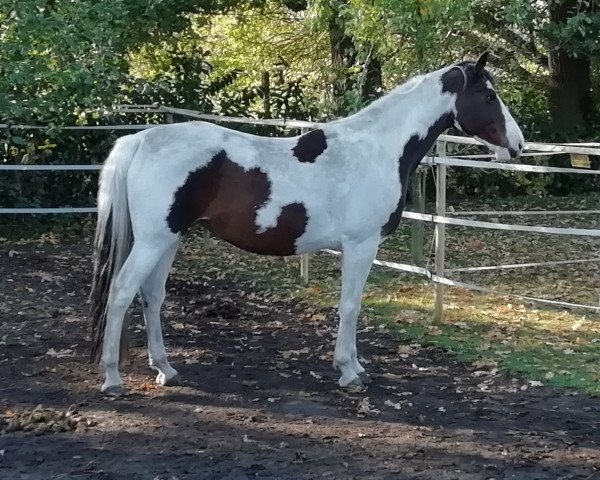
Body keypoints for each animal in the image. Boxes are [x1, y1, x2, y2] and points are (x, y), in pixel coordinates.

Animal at [90, 53, 524, 398]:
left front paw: (354, 366)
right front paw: (350, 371)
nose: (519, 145)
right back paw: (112, 379)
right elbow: (350, 306)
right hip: (153, 240)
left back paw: (165, 368)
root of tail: (140, 140)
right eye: (489, 96)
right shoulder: (361, 245)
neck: (377, 148)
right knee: (122, 291)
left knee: (152, 295)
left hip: (169, 239)